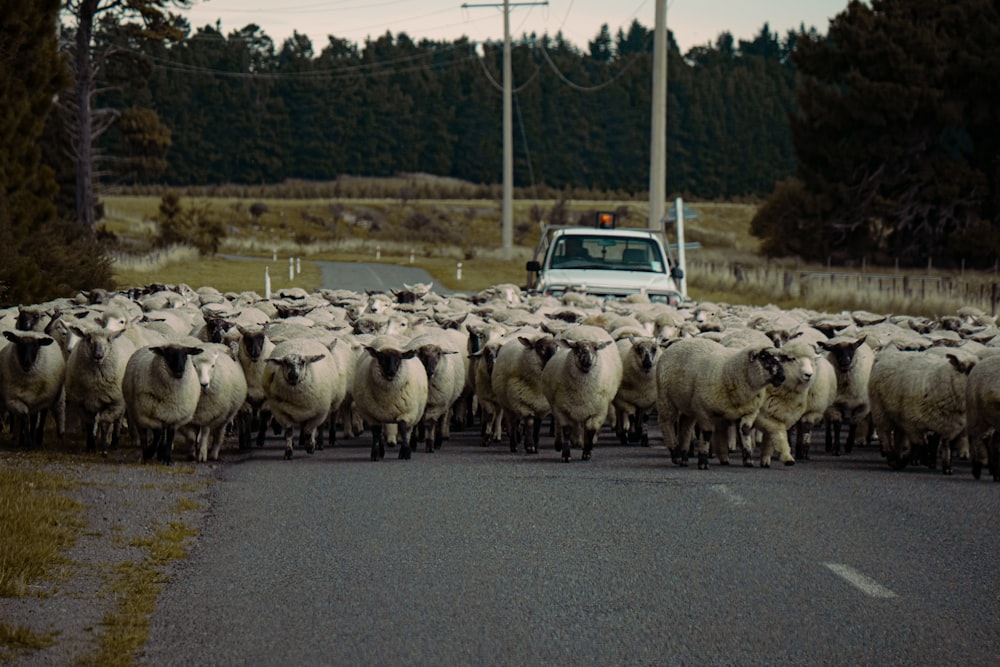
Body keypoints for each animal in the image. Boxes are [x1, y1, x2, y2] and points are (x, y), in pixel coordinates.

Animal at [64, 324, 138, 454]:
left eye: (108, 340)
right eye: (88, 338)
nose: (98, 356)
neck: (95, 382)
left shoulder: (113, 403)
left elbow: (105, 424)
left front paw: (104, 447)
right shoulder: (83, 404)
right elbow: (89, 425)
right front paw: (91, 446)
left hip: (120, 403)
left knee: (117, 421)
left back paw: (114, 442)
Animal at [544, 326, 620, 462]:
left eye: (595, 348)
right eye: (576, 348)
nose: (587, 361)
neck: (582, 392)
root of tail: (586, 327)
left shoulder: (597, 411)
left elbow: (590, 431)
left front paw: (587, 452)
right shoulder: (563, 409)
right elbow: (567, 430)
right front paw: (566, 454)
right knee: (561, 425)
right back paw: (561, 443)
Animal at [656, 340, 788, 470]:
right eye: (764, 357)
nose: (782, 377)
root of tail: (677, 344)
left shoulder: (749, 411)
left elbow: (745, 430)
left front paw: (748, 459)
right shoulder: (703, 411)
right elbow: (707, 433)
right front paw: (703, 462)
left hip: (687, 404)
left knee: (685, 427)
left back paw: (683, 457)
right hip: (666, 398)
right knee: (666, 423)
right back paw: (675, 454)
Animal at [868, 344, 976, 474]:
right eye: (969, 370)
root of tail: (888, 351)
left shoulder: (947, 424)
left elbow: (942, 444)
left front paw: (945, 466)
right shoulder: (912, 422)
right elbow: (921, 444)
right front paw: (922, 460)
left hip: (897, 414)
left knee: (899, 435)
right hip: (880, 411)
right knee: (885, 434)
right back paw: (891, 457)